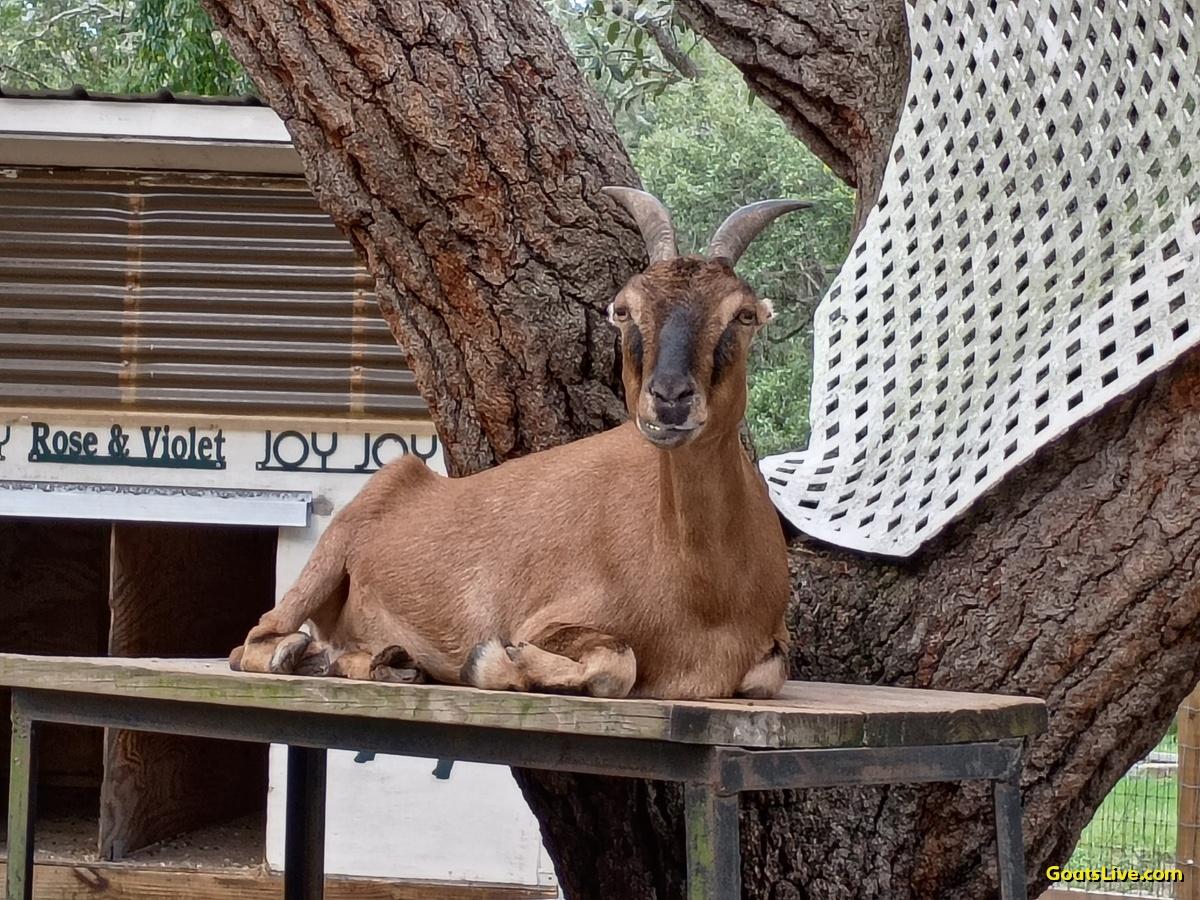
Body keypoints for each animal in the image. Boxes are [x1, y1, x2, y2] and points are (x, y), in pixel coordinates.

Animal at [230, 188, 807, 700]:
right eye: (624, 309)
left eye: (744, 314)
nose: (669, 399)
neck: (703, 590)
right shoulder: (550, 618)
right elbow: (615, 663)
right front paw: (494, 660)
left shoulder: (769, 653)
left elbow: (763, 675)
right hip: (329, 554)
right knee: (253, 643)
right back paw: (302, 653)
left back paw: (386, 660)